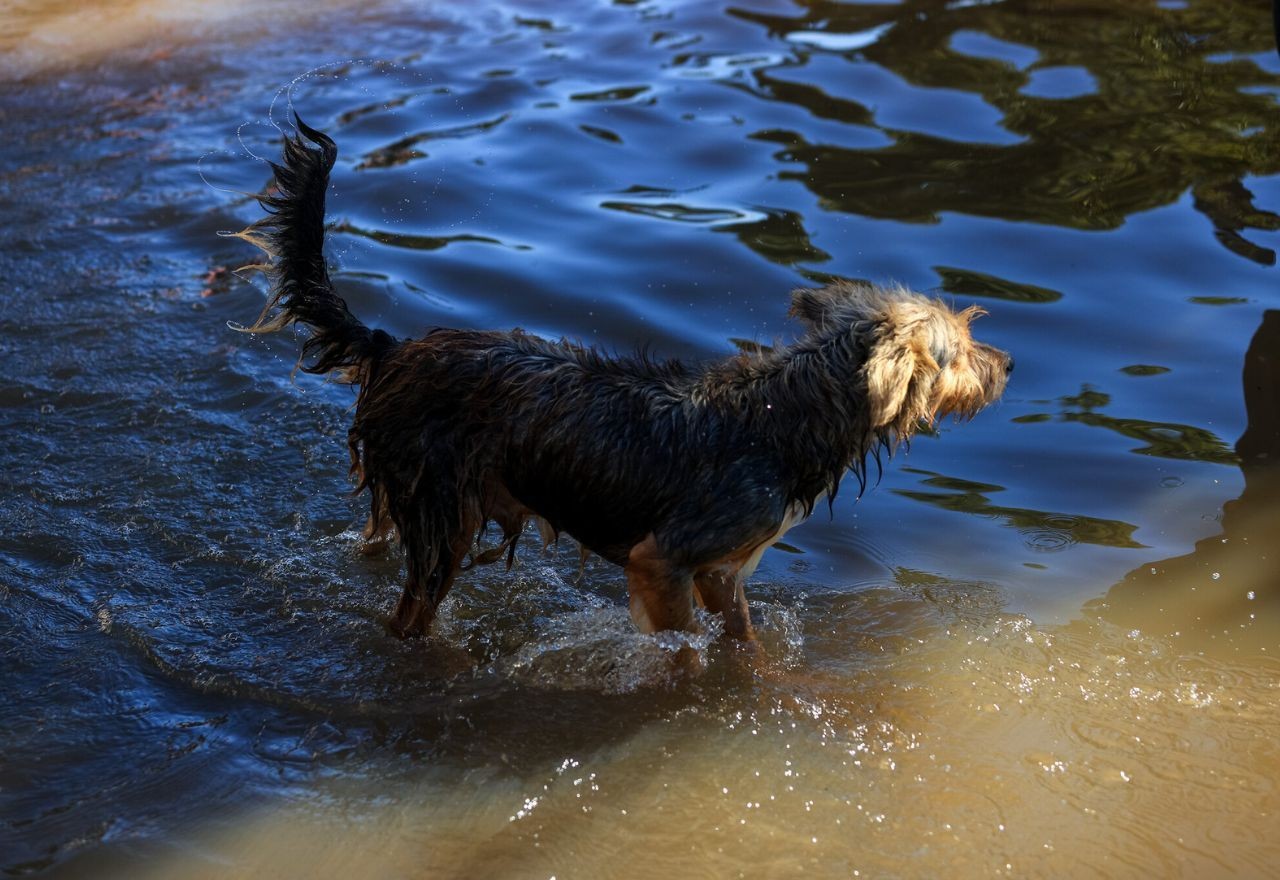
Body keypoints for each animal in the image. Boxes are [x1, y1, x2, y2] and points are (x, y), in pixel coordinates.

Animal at [230, 118, 1008, 647]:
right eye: (962, 349)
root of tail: (391, 347)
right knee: (410, 614)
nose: (1007, 364)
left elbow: (745, 645)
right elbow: (685, 651)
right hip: (441, 515)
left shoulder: (724, 575)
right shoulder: (662, 562)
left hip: (408, 501)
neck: (785, 415)